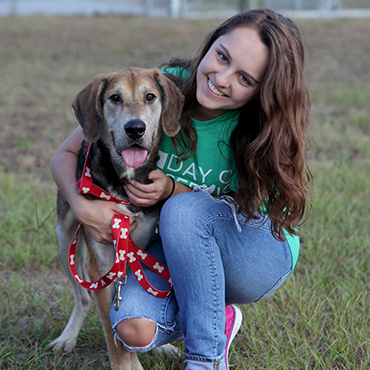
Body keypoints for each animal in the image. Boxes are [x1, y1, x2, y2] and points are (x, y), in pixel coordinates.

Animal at [49, 68, 185, 368]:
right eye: (114, 98)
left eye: (150, 96)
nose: (135, 129)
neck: (124, 183)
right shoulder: (102, 267)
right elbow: (116, 341)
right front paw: (127, 364)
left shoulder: (136, 253)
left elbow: (123, 328)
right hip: (64, 239)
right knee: (82, 297)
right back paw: (67, 337)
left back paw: (163, 348)